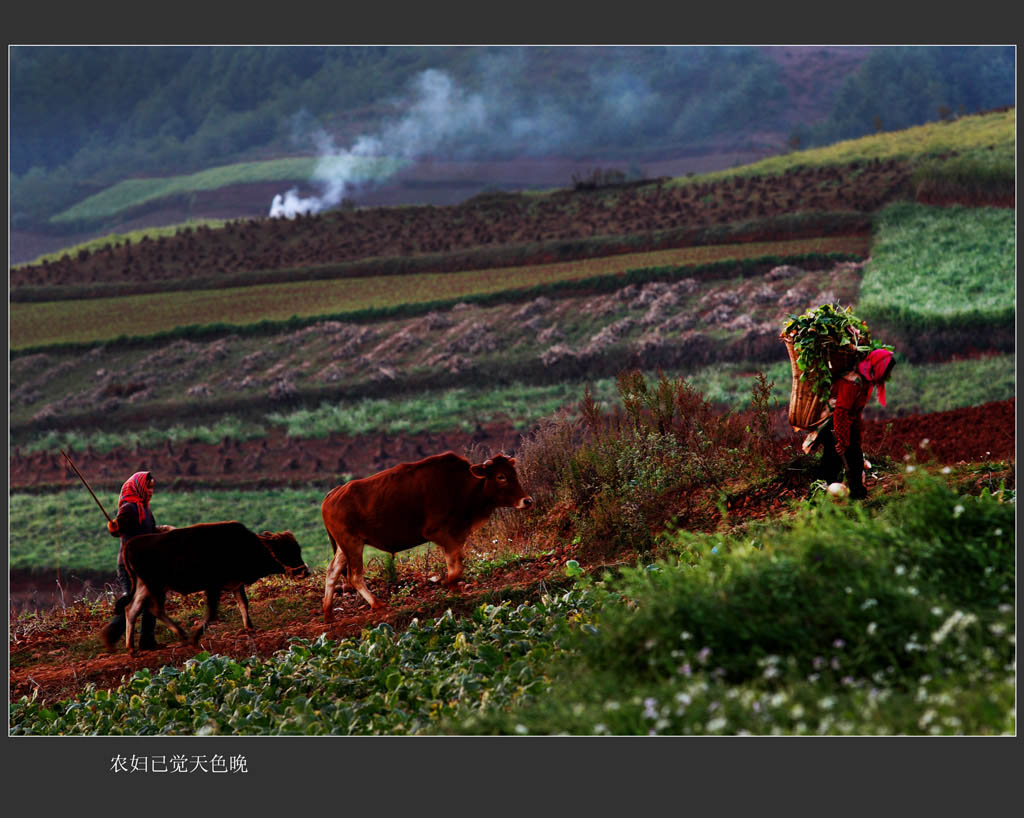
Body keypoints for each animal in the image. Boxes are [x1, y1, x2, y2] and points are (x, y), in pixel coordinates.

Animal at [103, 522, 311, 655]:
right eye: (285, 550)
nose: (305, 571)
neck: (247, 545)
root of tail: (131, 543)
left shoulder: (236, 584)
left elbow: (243, 604)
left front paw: (250, 628)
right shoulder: (213, 586)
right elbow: (211, 614)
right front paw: (196, 637)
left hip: (145, 586)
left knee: (132, 609)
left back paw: (132, 648)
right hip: (156, 586)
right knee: (153, 609)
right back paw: (182, 635)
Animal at [321, 450, 532, 618]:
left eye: (514, 473)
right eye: (501, 476)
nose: (527, 500)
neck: (462, 486)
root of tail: (332, 495)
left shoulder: (456, 534)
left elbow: (456, 560)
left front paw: (454, 586)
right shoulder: (438, 532)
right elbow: (455, 562)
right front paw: (448, 582)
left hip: (345, 546)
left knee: (332, 572)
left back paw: (328, 613)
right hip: (352, 543)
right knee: (354, 576)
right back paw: (377, 604)